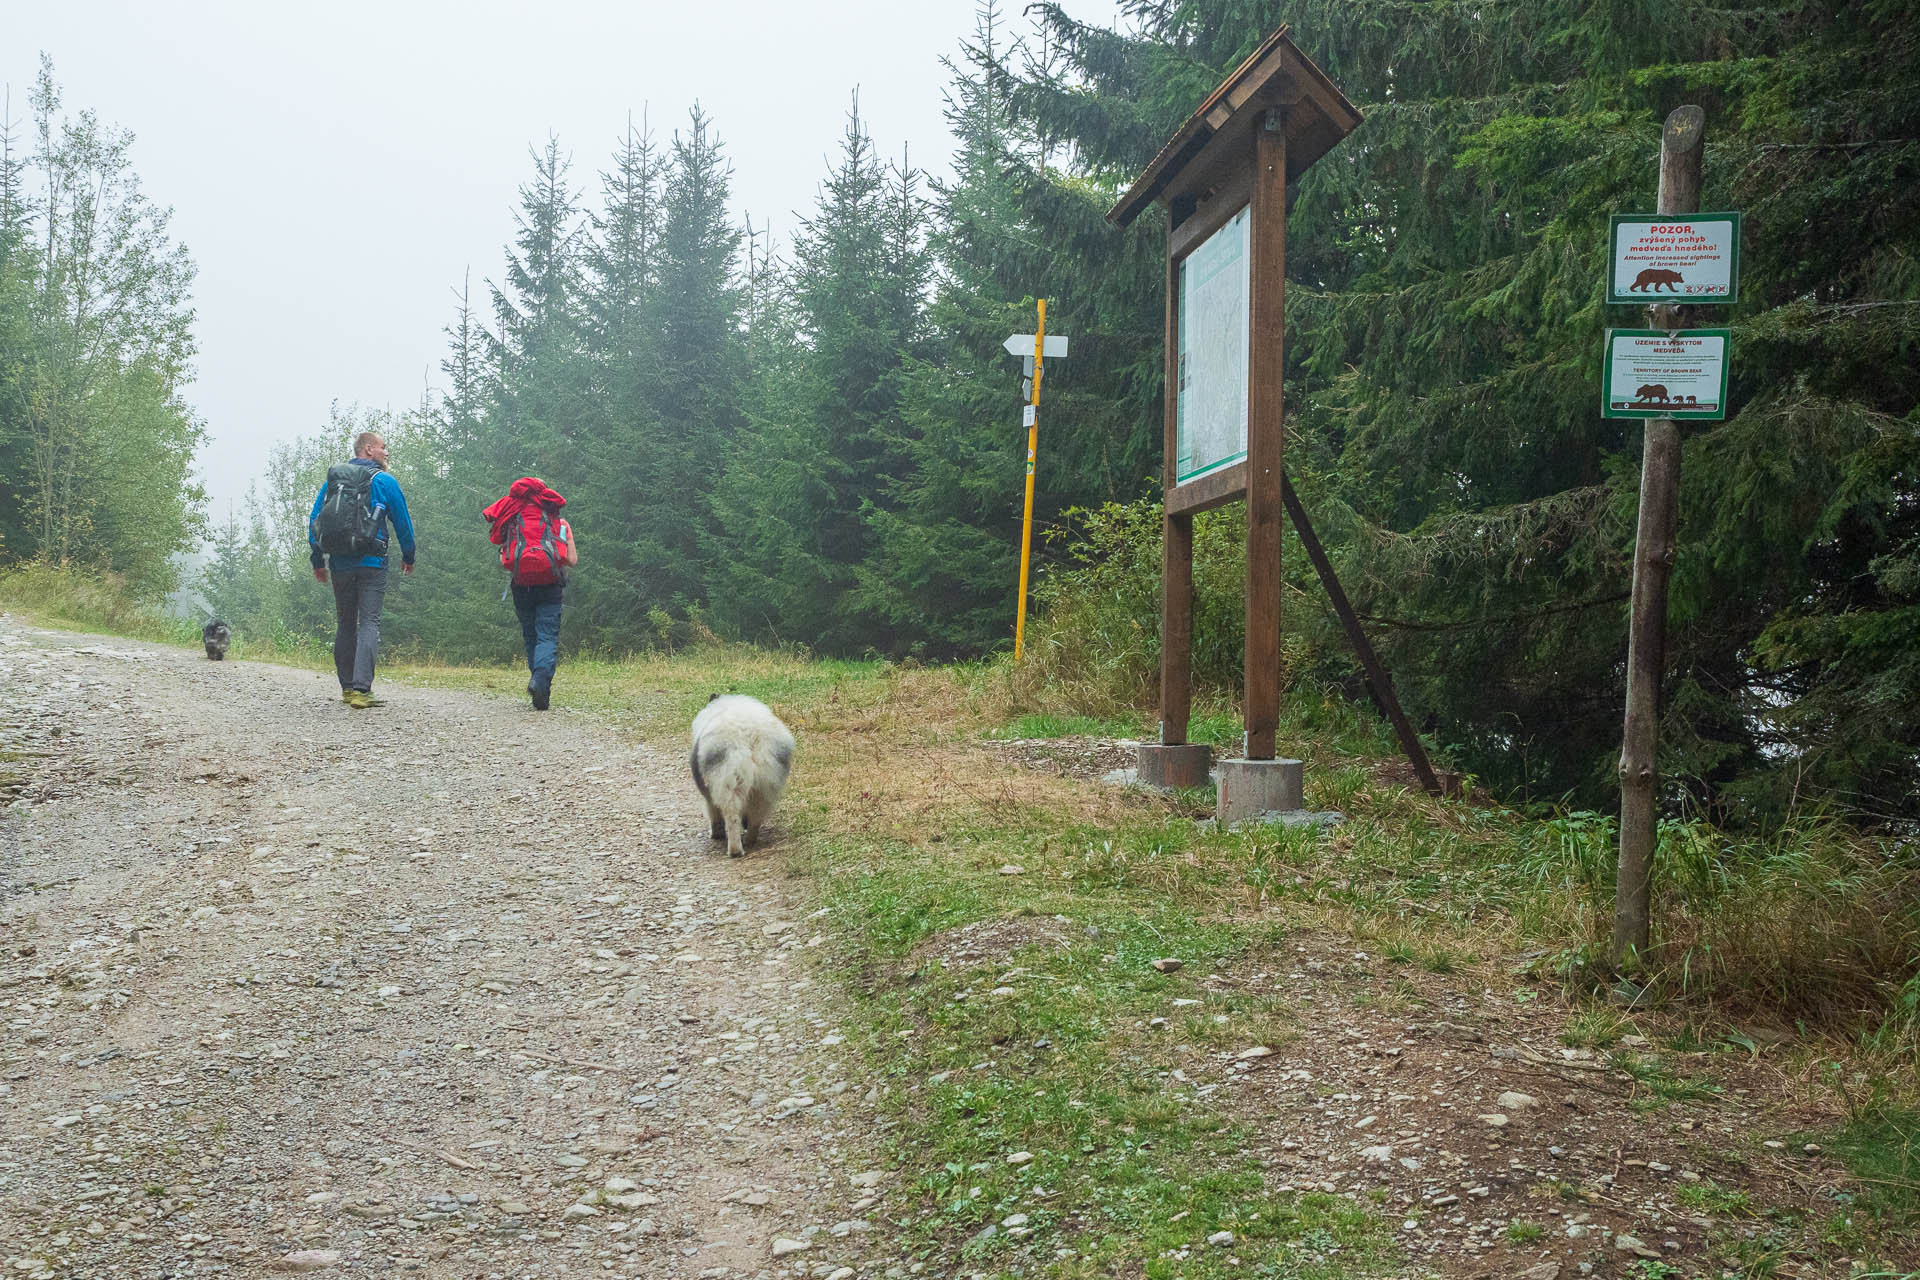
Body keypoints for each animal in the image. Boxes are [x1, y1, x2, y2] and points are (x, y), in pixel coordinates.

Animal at [691, 694, 794, 855]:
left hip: (729, 781)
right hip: (765, 783)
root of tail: (750, 735)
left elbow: (713, 812)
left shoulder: (709, 793)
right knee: (756, 814)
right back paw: (750, 839)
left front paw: (716, 834)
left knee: (732, 816)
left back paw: (735, 851)